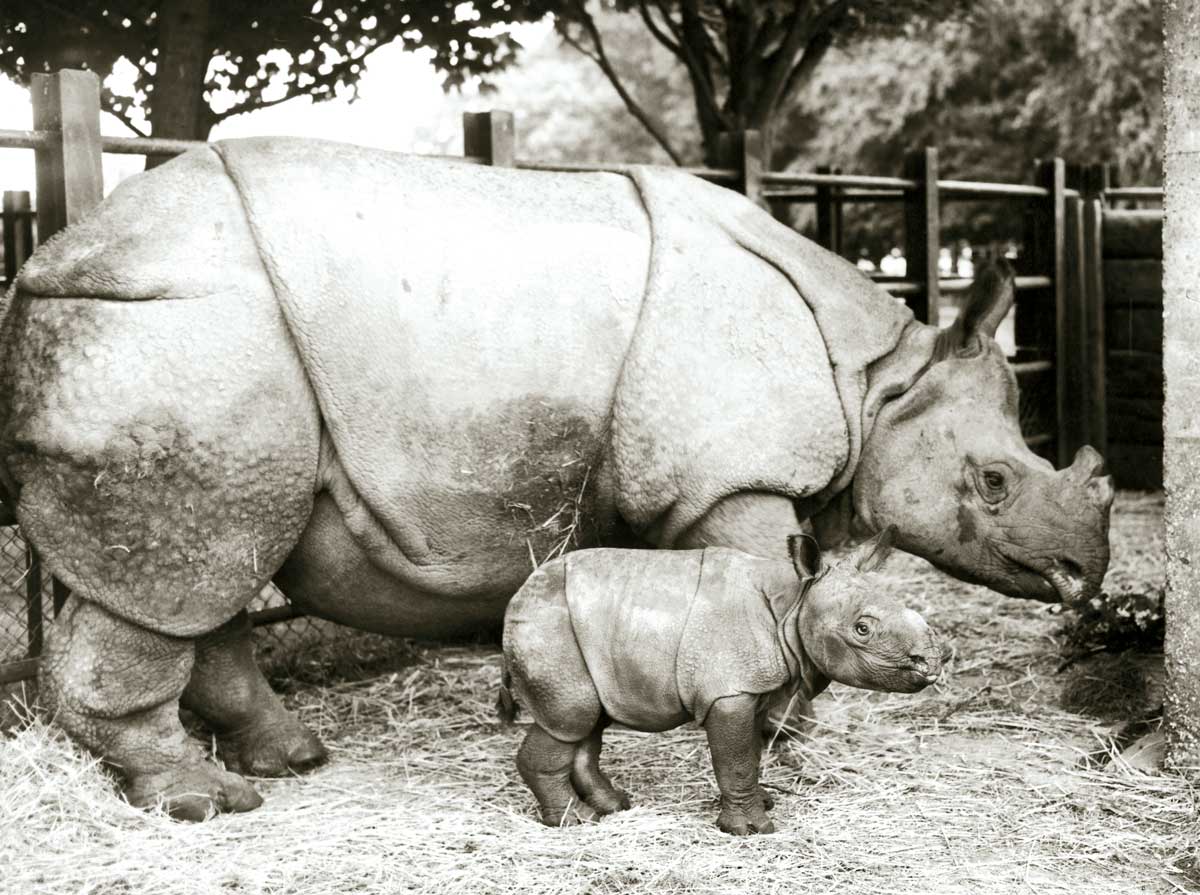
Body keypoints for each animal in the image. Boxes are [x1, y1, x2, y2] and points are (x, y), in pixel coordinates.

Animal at [501, 530, 940, 830]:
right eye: (862, 629)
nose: (933, 662)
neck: (794, 603)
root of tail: (516, 600)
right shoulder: (730, 692)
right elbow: (736, 758)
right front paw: (752, 829)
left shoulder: (755, 686)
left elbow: (750, 753)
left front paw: (763, 802)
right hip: (548, 630)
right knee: (569, 719)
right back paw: (574, 821)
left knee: (587, 722)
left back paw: (613, 806)